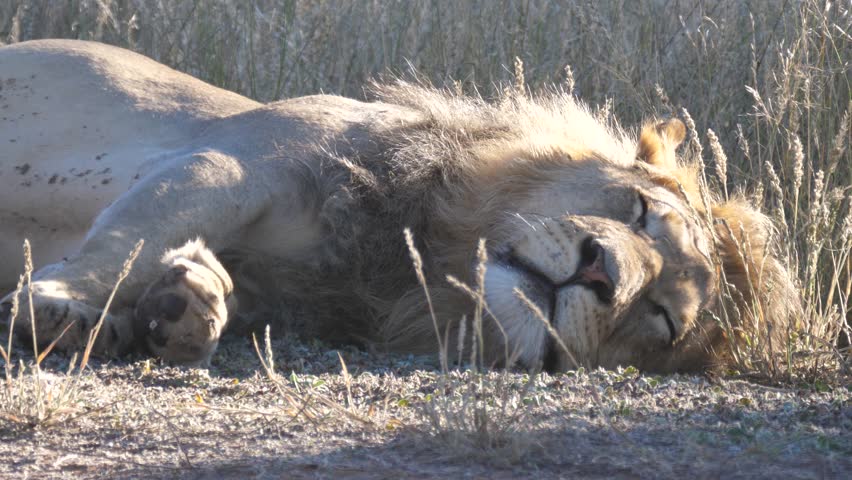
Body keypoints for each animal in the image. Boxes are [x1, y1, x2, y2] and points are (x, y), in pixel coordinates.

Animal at [0, 40, 800, 371]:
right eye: (636, 210)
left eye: (663, 320)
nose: (600, 272)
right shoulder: (237, 161)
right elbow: (127, 241)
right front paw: (58, 306)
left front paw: (183, 309)